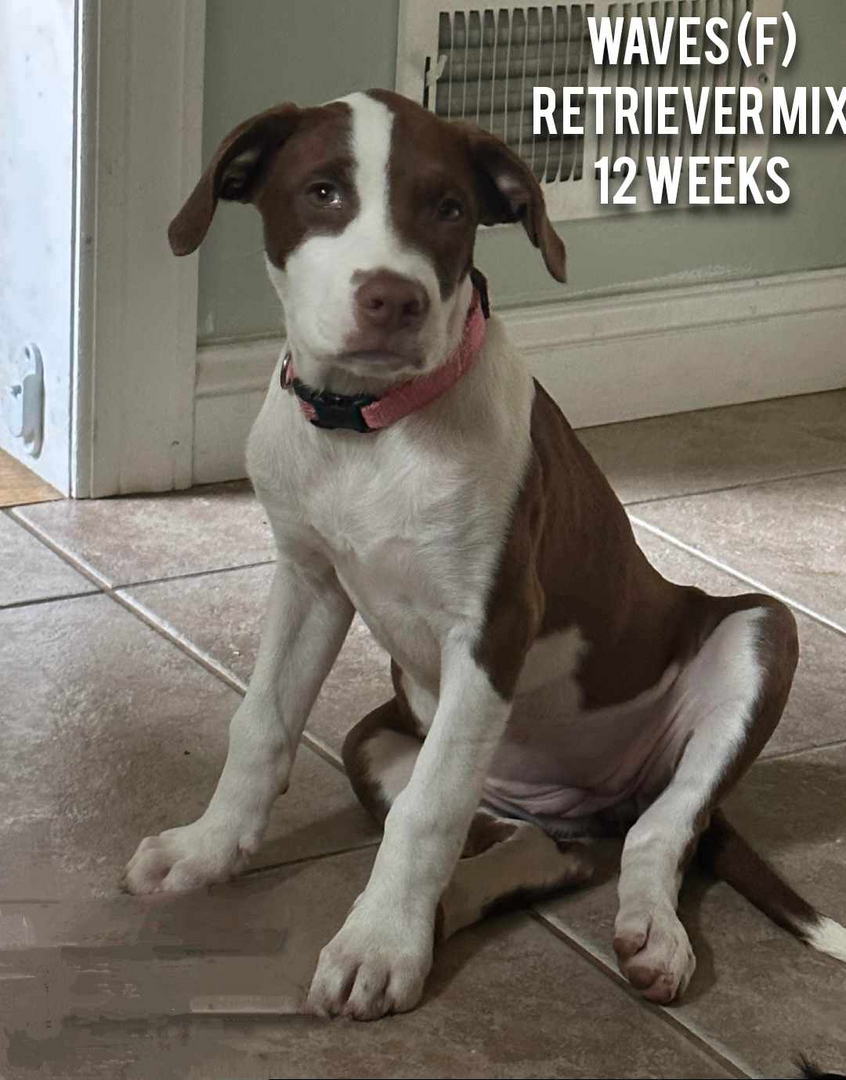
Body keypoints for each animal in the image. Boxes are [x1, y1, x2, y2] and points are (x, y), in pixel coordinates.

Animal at [122, 90, 842, 1019]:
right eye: (322, 192)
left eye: (449, 208)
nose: (393, 299)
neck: (369, 430)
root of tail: (599, 803)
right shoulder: (309, 580)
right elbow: (262, 724)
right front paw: (207, 850)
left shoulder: (492, 625)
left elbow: (427, 811)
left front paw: (378, 947)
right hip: (378, 746)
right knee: (545, 848)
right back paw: (448, 908)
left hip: (757, 631)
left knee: (660, 829)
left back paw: (647, 932)